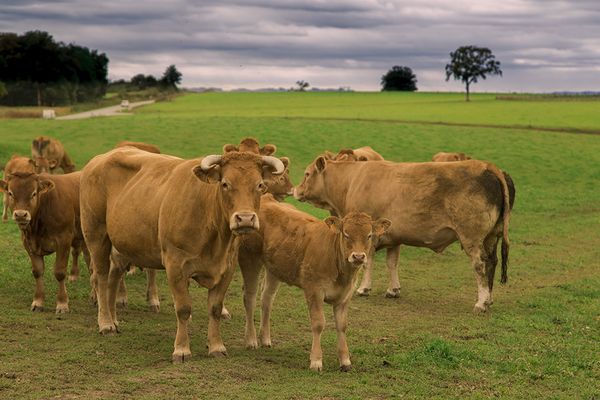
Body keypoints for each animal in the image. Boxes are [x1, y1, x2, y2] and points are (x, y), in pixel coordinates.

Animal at [0, 171, 89, 312]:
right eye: (10, 193)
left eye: (33, 193)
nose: (21, 214)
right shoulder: (28, 243)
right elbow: (37, 271)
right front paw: (38, 302)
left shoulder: (64, 240)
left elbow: (59, 272)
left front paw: (62, 303)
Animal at [79, 147, 284, 362]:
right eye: (225, 184)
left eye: (260, 185)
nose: (245, 219)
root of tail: (100, 158)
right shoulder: (175, 265)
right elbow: (183, 309)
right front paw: (182, 349)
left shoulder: (227, 267)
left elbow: (215, 308)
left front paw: (216, 346)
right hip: (96, 235)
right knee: (101, 278)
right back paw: (106, 324)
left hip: (122, 245)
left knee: (113, 278)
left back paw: (114, 320)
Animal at [241, 195, 392, 370]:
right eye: (346, 234)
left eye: (369, 235)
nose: (358, 256)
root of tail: (266, 199)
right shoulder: (314, 290)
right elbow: (318, 323)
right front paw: (316, 360)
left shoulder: (345, 295)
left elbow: (342, 325)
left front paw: (345, 360)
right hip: (250, 259)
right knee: (250, 298)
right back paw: (251, 340)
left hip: (274, 268)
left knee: (266, 299)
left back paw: (265, 339)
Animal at [292, 157, 512, 312]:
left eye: (307, 174)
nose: (295, 190)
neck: (352, 180)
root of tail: (488, 167)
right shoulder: (394, 237)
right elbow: (392, 263)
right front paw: (393, 289)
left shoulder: (370, 236)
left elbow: (368, 262)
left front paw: (364, 288)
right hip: (491, 237)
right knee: (492, 262)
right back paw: (489, 299)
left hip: (472, 239)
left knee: (480, 265)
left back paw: (481, 302)